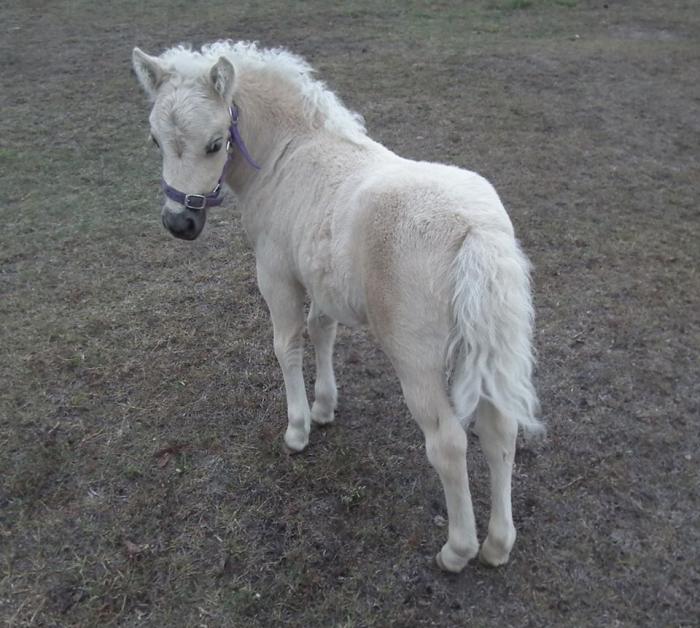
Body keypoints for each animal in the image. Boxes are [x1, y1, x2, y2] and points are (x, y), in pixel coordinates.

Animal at [132, 40, 543, 573]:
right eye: (155, 139)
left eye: (216, 143)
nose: (180, 223)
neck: (289, 152)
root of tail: (474, 231)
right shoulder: (320, 278)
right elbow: (321, 331)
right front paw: (325, 407)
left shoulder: (276, 274)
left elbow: (286, 344)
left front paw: (298, 429)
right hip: (486, 346)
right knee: (499, 431)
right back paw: (497, 545)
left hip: (417, 359)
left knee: (448, 443)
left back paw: (458, 550)